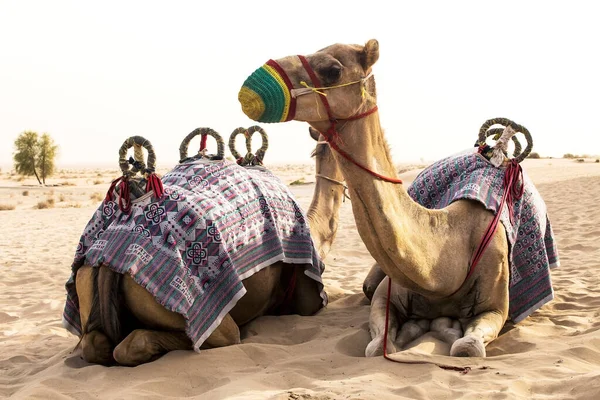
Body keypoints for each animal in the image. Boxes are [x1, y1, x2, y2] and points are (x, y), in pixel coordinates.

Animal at [237, 39, 556, 358]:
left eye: (333, 70)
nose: (250, 89)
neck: (446, 264)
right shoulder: (386, 294)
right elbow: (377, 346)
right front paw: (425, 328)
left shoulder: (495, 308)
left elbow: (467, 347)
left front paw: (446, 329)